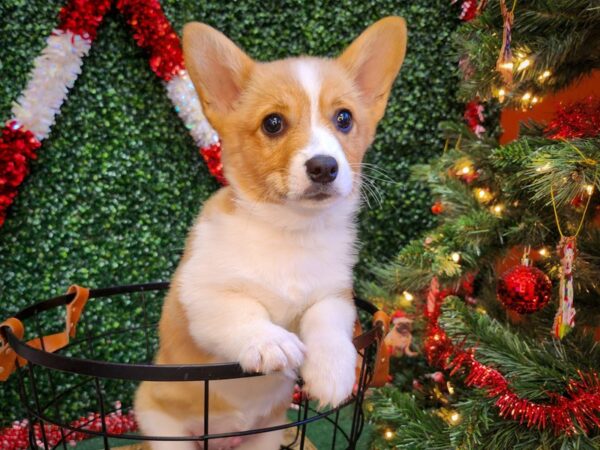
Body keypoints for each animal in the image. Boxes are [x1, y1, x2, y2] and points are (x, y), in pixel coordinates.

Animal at [135, 15, 408, 448]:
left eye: (344, 118)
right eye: (273, 123)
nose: (324, 167)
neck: (290, 232)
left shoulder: (334, 293)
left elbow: (328, 320)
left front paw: (333, 372)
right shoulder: (200, 295)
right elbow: (243, 310)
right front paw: (272, 342)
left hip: (264, 435)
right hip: (164, 429)